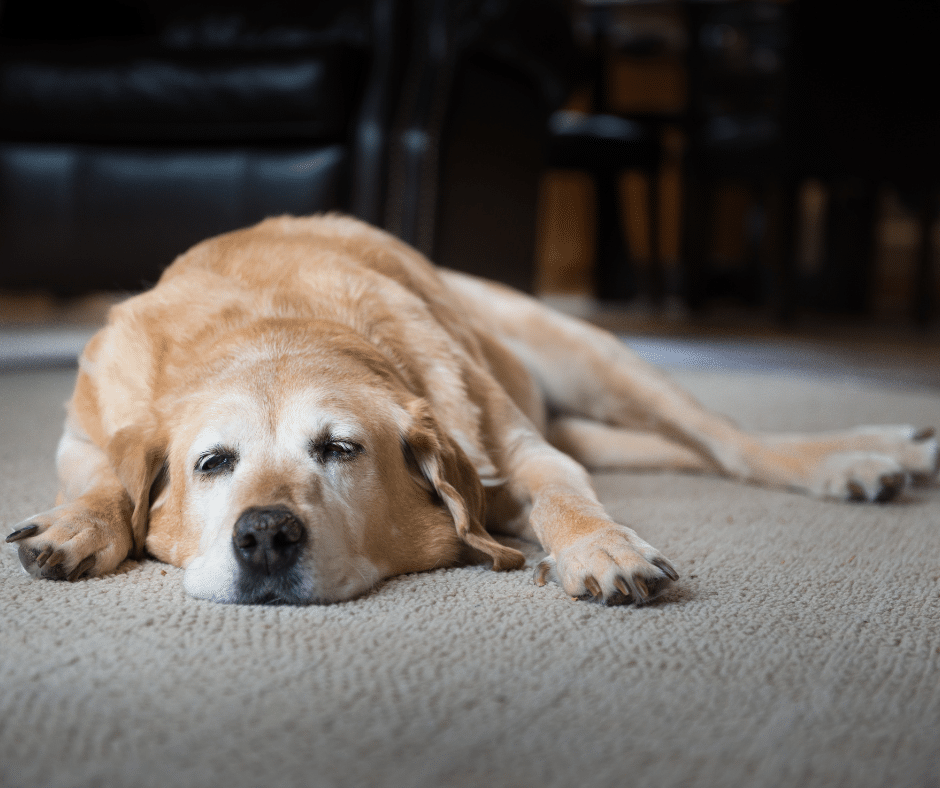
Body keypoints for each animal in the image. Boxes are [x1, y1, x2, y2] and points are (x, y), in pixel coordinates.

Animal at [7, 215, 940, 604]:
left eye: (340, 449)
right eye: (212, 464)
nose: (265, 534)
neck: (275, 324)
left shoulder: (521, 453)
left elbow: (564, 497)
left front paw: (601, 548)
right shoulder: (83, 435)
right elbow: (104, 481)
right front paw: (77, 526)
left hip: (593, 357)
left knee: (730, 443)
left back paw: (855, 458)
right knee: (678, 452)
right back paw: (891, 450)